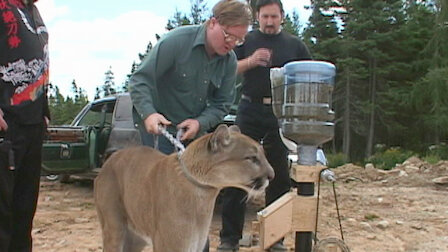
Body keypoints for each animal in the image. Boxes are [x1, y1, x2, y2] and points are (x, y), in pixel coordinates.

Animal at [94, 125, 274, 251]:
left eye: (263, 154)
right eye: (252, 158)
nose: (272, 175)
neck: (204, 193)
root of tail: (107, 162)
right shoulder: (171, 246)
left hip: (135, 238)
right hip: (114, 229)